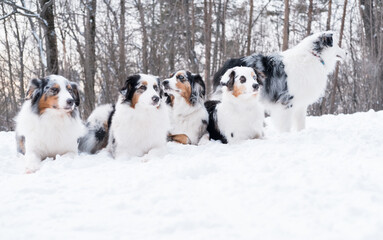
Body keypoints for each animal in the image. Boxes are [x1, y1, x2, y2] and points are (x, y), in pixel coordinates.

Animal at [213, 31, 348, 132]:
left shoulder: (300, 103)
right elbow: (286, 125)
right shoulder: (287, 101)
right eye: (336, 44)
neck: (314, 56)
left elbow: (301, 123)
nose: (346, 52)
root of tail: (226, 66)